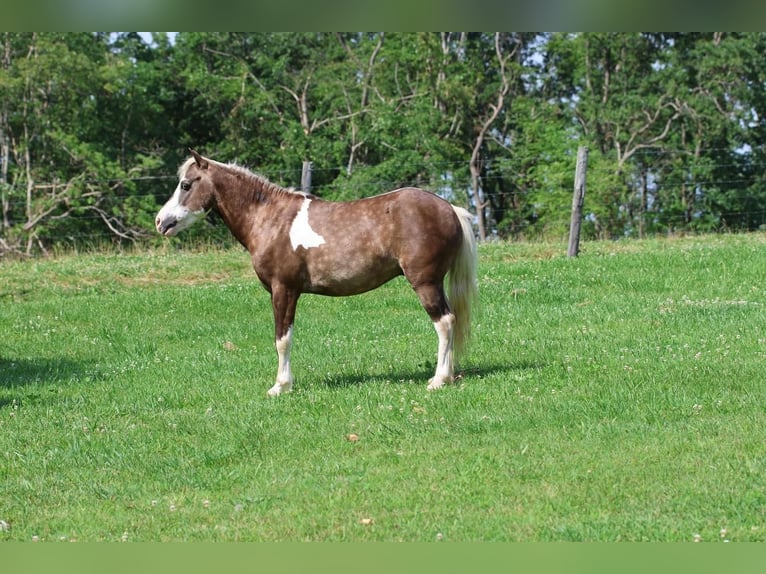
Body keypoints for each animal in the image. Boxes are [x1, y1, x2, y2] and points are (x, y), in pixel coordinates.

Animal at [154, 151, 480, 398]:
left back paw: (439, 380)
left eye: (186, 185)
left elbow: (282, 339)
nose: (160, 221)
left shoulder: (283, 290)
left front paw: (281, 386)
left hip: (425, 283)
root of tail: (449, 208)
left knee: (444, 323)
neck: (270, 219)